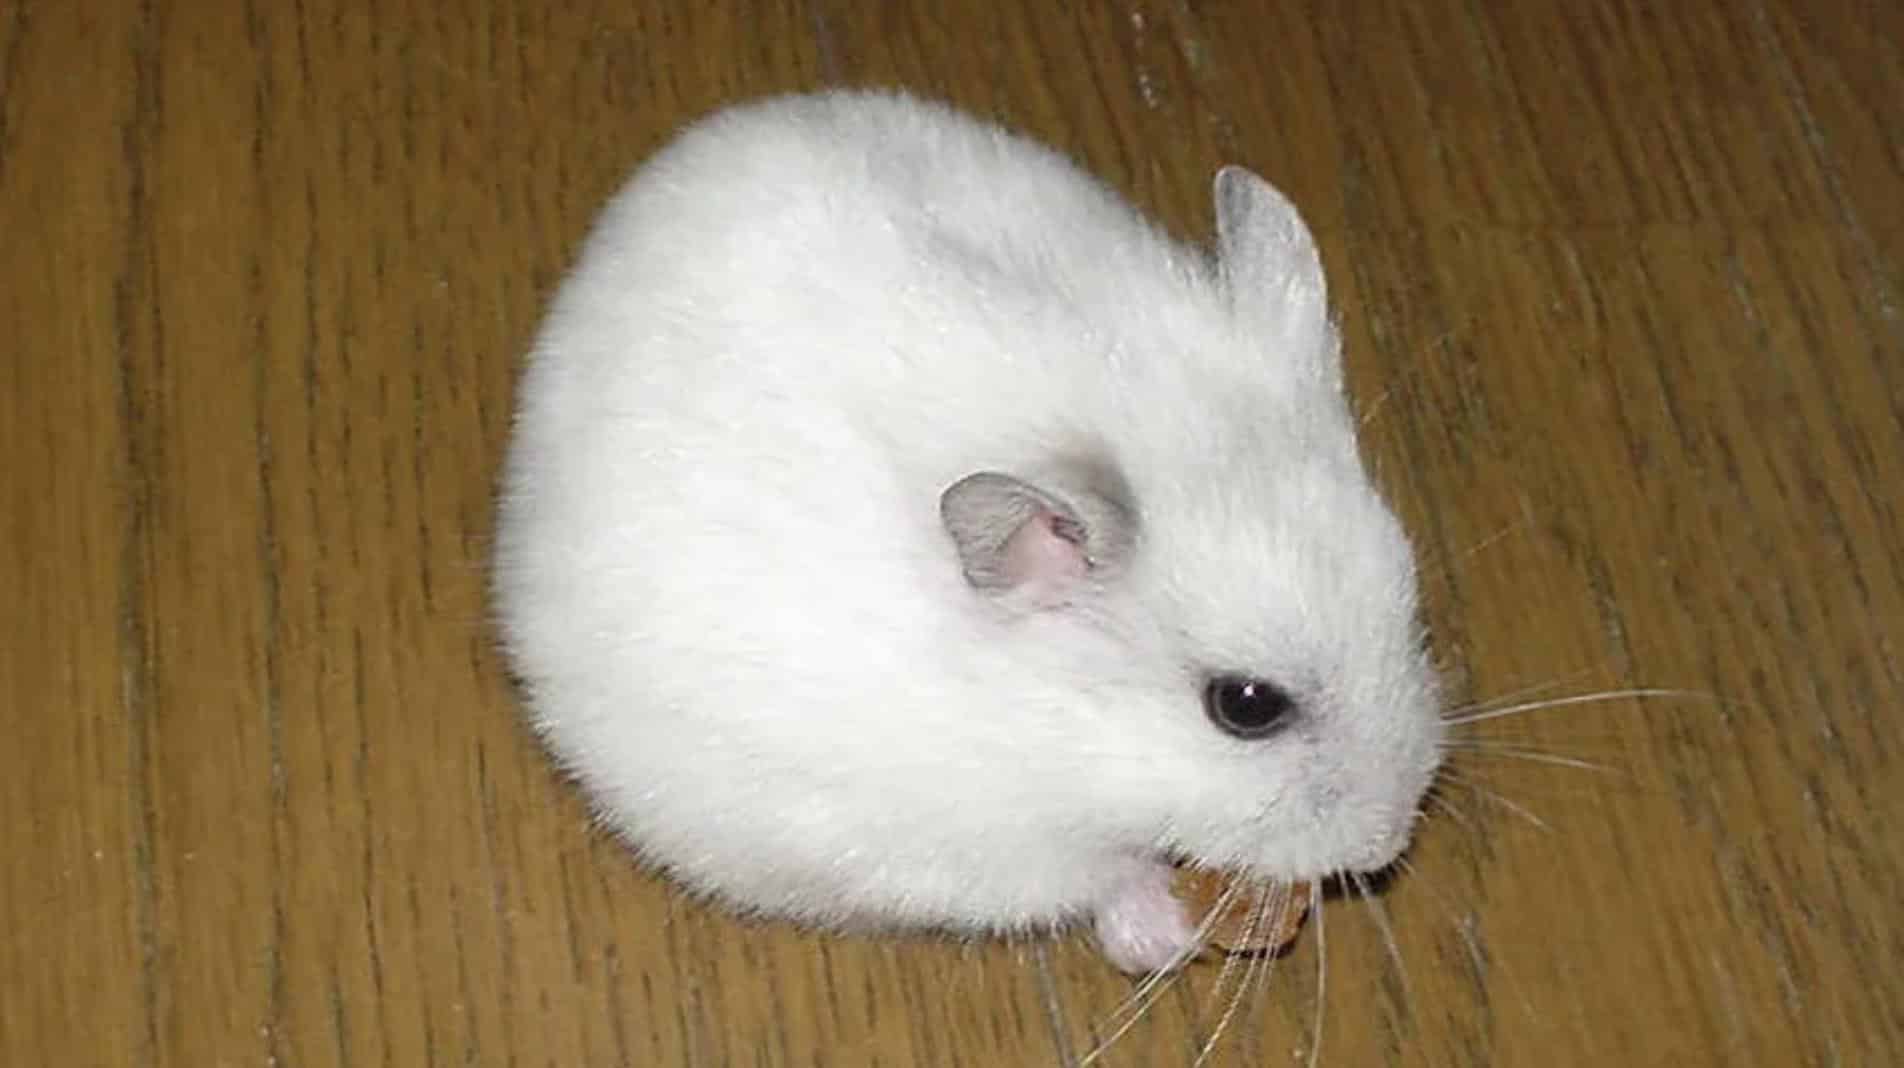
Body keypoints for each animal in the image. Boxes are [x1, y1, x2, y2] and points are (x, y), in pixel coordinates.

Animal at [491, 89, 1444, 976]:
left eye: (1411, 605)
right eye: (1245, 705)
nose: (1391, 842)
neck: (1049, 724)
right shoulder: (973, 848)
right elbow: (1100, 879)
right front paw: (1167, 932)